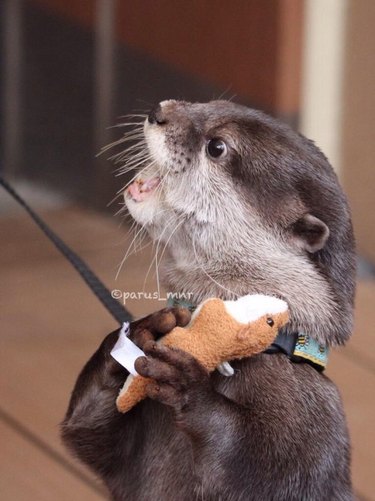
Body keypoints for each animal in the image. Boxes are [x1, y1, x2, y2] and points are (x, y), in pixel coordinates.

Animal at [61, 99, 356, 498]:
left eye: (217, 146)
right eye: (211, 104)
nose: (159, 111)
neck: (269, 347)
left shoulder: (308, 425)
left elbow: (253, 471)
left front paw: (188, 383)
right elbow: (85, 433)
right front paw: (134, 335)